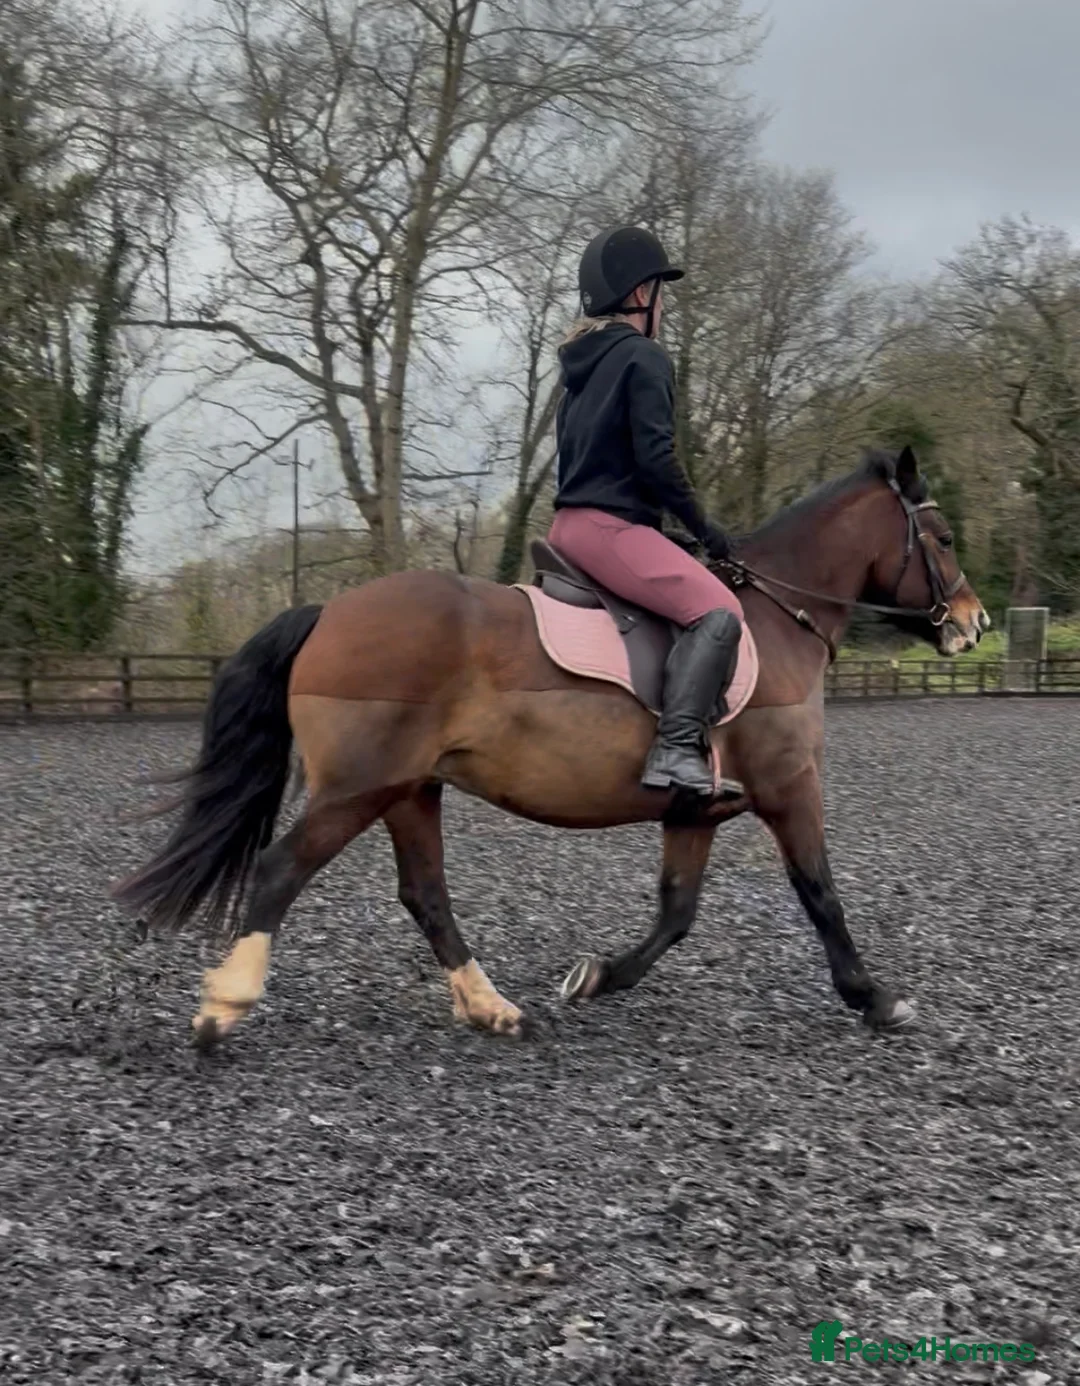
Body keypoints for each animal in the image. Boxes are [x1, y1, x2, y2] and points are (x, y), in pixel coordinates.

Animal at [113, 445, 988, 1047]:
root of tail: (330, 611)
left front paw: (594, 978)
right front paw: (876, 998)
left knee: (426, 895)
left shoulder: (696, 812)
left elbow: (677, 914)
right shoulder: (789, 787)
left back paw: (492, 1008)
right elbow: (820, 894)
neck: (779, 619)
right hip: (358, 789)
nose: (973, 624)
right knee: (280, 871)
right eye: (943, 536)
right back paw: (224, 1007)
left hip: (410, 789)